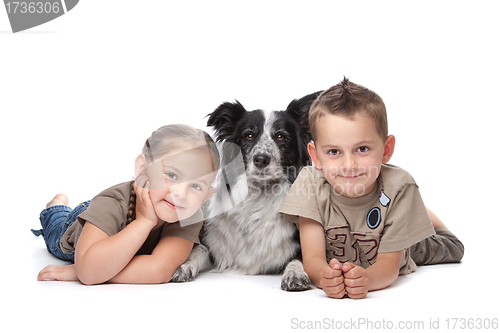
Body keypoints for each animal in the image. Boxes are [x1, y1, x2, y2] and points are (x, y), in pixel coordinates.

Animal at [171, 92, 320, 290]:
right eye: (248, 135)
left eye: (281, 136)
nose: (261, 159)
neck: (257, 197)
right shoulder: (212, 241)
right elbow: (199, 249)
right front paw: (184, 266)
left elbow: (299, 259)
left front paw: (295, 273)